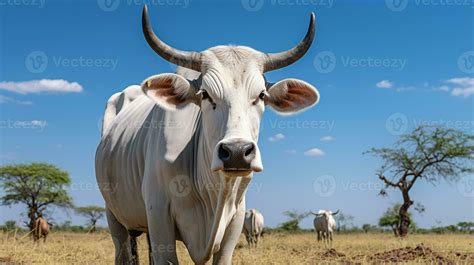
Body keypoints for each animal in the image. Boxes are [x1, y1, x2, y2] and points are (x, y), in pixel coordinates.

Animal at [95, 5, 320, 262]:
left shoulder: (235, 220)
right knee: (122, 249)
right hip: (113, 215)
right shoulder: (158, 214)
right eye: (204, 94)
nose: (236, 152)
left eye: (261, 95)